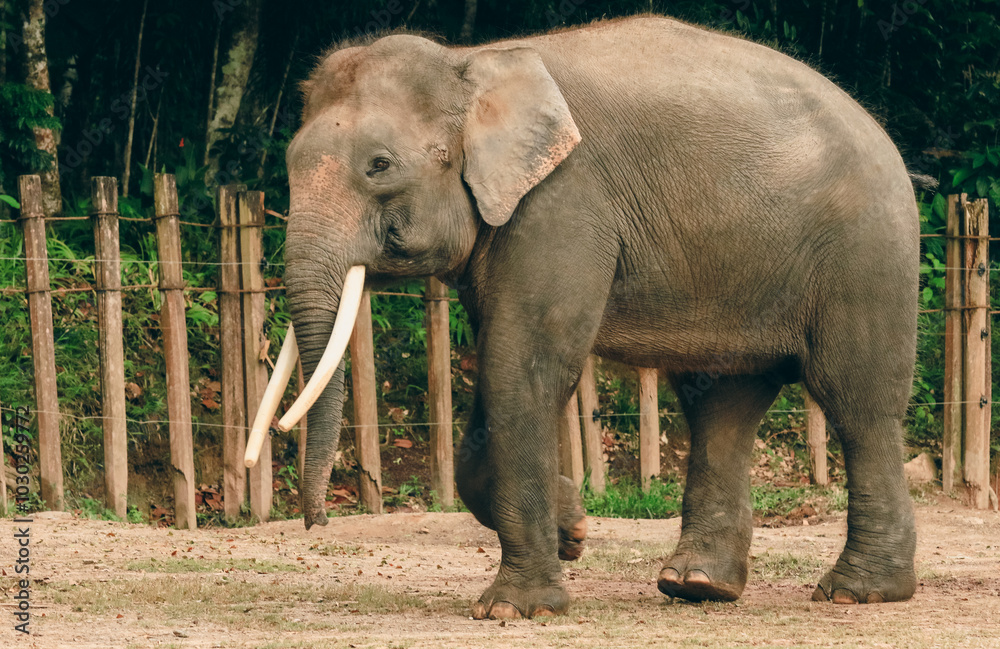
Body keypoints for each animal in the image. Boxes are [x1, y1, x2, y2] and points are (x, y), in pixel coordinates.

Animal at [249, 15, 919, 619]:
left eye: (379, 165)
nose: (317, 521)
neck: (471, 63)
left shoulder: (563, 201)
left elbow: (523, 365)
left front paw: (515, 609)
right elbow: (501, 362)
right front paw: (570, 529)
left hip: (866, 252)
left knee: (854, 398)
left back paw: (857, 592)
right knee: (720, 402)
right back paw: (697, 587)